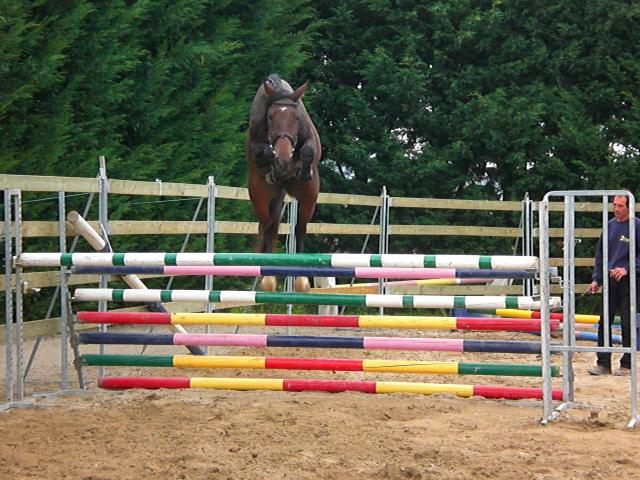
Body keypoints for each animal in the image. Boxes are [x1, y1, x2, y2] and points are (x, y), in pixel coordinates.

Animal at [248, 73, 322, 290]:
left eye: (296, 118)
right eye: (270, 118)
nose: (283, 160)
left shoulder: (310, 140)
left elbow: (308, 150)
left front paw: (300, 169)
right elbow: (263, 151)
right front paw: (274, 163)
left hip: (308, 197)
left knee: (300, 228)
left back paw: (301, 279)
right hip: (261, 196)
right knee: (268, 226)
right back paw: (266, 276)